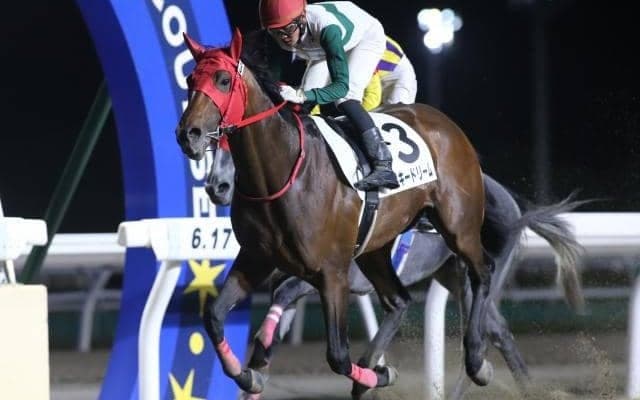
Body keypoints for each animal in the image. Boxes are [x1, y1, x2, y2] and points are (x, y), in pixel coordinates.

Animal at [176, 28, 520, 398]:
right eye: (190, 78)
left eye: (224, 80)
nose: (188, 135)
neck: (281, 171)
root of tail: (447, 125)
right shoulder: (257, 258)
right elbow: (213, 317)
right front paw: (249, 376)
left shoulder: (332, 273)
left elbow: (337, 355)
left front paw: (380, 374)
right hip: (378, 250)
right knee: (399, 300)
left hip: (459, 228)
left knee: (483, 273)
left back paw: (477, 361)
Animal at [205, 148, 586, 399]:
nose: (215, 187)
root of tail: (511, 202)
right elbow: (278, 309)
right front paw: (255, 370)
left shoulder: (335, 274)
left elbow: (285, 295)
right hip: (451, 275)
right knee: (499, 332)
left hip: (471, 274)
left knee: (487, 329)